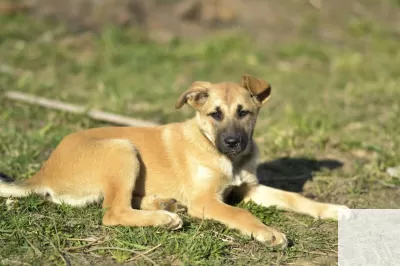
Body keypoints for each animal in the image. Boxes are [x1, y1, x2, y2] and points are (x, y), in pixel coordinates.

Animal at [0, 74, 346, 247]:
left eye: (244, 113)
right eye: (215, 114)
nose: (233, 143)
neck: (224, 157)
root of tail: (44, 172)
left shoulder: (250, 188)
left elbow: (295, 197)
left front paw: (333, 210)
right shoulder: (204, 200)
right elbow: (239, 214)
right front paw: (267, 232)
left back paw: (164, 204)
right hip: (122, 149)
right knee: (113, 211)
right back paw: (165, 217)